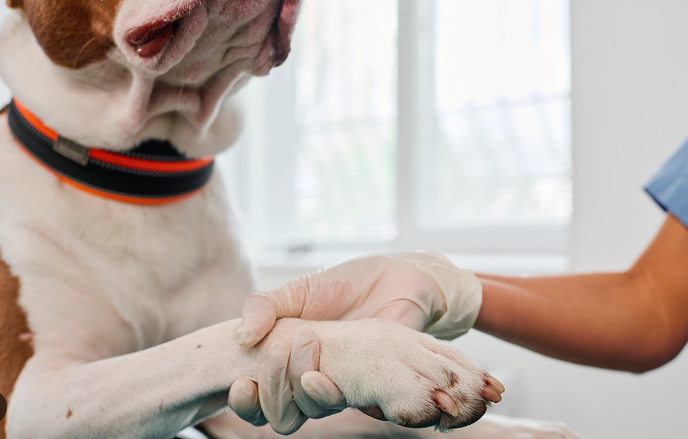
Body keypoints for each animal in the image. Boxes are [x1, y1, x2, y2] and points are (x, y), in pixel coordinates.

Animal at [0, 0, 580, 439]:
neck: (143, 173)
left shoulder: (242, 418)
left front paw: (526, 430)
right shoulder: (35, 397)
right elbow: (216, 342)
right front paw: (381, 350)